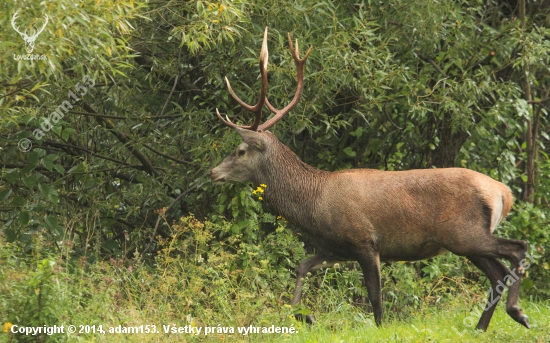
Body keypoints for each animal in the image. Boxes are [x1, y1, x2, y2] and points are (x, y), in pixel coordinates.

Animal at [211, 28, 532, 332]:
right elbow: (301, 268)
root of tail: (503, 192)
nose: (213, 172)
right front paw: (303, 315)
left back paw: (518, 312)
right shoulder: (335, 248)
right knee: (498, 273)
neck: (314, 205)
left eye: (239, 151)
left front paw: (377, 326)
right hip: (467, 240)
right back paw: (481, 327)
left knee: (518, 249)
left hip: (464, 233)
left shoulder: (364, 241)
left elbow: (375, 297)